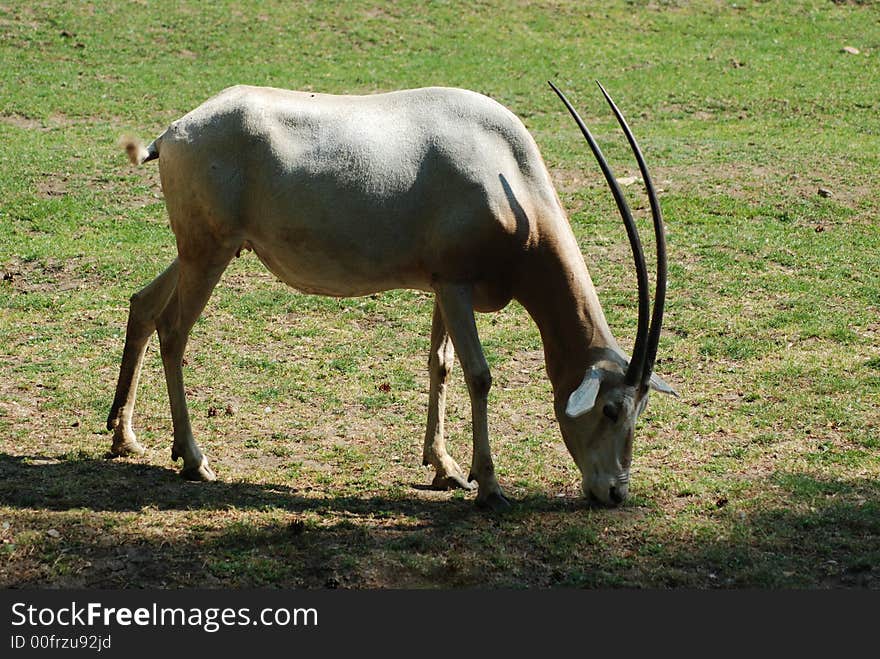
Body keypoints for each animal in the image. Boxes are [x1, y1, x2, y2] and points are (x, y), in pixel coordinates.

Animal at [110, 81, 672, 510]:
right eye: (611, 410)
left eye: (641, 410)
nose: (615, 494)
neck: (508, 173)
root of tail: (174, 132)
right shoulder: (456, 286)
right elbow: (479, 376)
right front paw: (489, 487)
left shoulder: (442, 286)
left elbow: (440, 364)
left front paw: (444, 468)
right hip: (210, 253)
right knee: (174, 330)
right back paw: (193, 458)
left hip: (204, 252)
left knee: (144, 304)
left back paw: (124, 436)